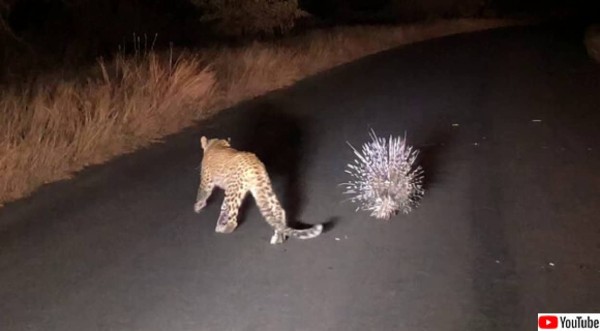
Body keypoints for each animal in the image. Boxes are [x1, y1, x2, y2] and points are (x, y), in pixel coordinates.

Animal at [192, 136, 324, 245]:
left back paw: (225, 229)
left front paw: (198, 206)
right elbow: (224, 207)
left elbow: (202, 194)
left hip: (236, 192)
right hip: (263, 189)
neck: (216, 145)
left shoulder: (207, 182)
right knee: (279, 211)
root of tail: (254, 163)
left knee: (233, 220)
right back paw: (278, 238)